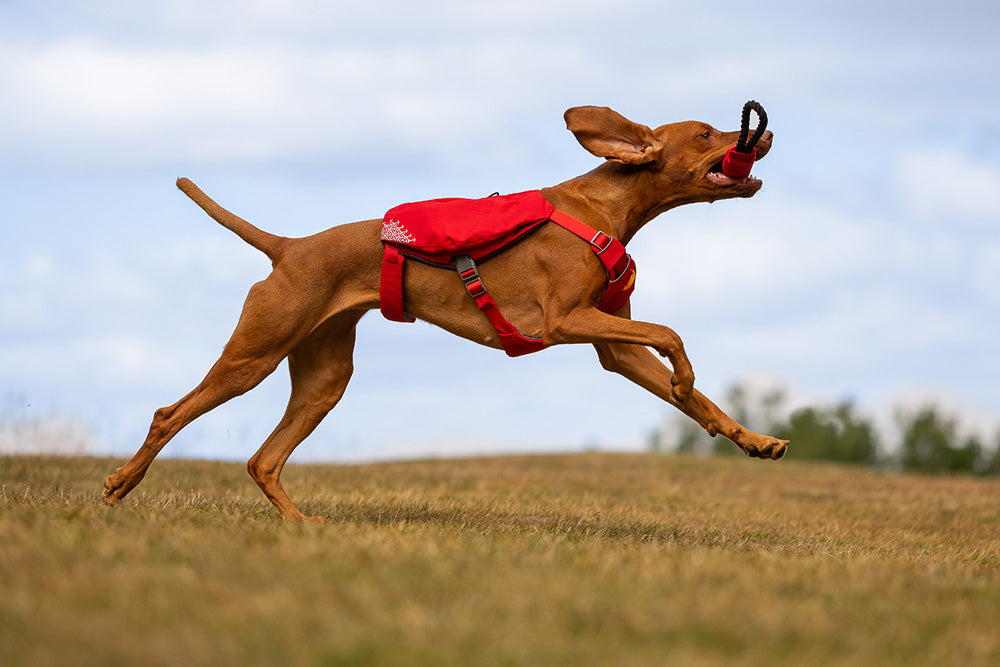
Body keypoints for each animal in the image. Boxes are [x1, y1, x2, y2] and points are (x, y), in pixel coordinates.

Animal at [103, 105, 788, 520]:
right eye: (706, 134)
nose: (767, 133)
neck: (606, 207)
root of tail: (289, 246)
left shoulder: (613, 345)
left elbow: (693, 392)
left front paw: (751, 437)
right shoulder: (563, 320)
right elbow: (671, 334)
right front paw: (686, 379)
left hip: (324, 379)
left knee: (262, 460)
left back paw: (302, 527)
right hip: (254, 354)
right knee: (171, 414)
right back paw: (118, 487)